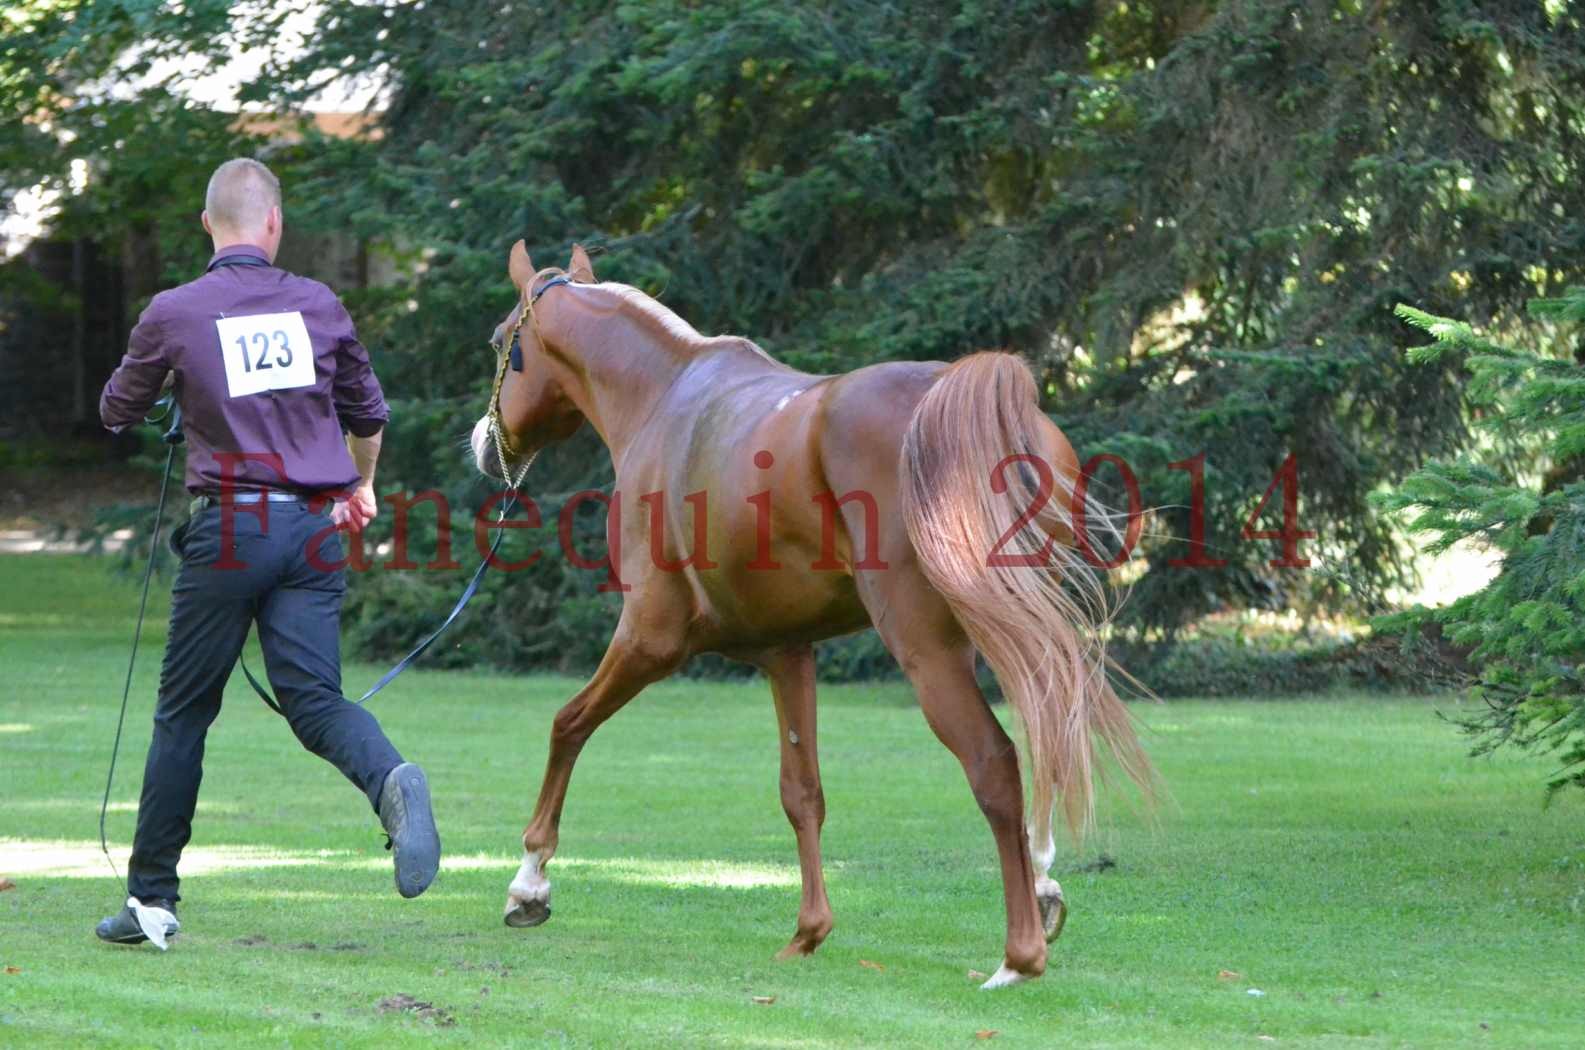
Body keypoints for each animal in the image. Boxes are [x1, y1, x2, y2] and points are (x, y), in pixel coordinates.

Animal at [469, 242, 1153, 989]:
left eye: (501, 342)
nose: (482, 446)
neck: (664, 398)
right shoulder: (786, 653)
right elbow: (802, 792)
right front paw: (808, 931)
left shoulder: (650, 640)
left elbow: (567, 725)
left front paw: (529, 882)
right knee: (1047, 729)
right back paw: (1043, 885)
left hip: (930, 649)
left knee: (994, 762)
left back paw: (1017, 956)